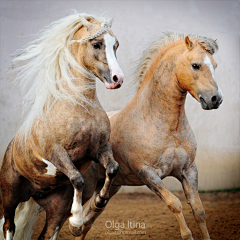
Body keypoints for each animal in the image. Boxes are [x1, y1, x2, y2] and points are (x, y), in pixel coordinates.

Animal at [0, 13, 124, 240]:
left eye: (116, 45)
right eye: (96, 44)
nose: (117, 79)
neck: (79, 107)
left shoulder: (101, 148)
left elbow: (112, 168)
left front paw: (99, 201)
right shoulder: (56, 153)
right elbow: (77, 178)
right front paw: (76, 223)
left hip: (54, 207)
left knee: (46, 234)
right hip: (9, 195)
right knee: (8, 226)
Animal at [72, 32, 221, 240]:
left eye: (214, 65)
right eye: (195, 65)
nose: (215, 99)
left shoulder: (189, 171)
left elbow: (199, 210)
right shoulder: (147, 173)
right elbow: (174, 203)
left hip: (108, 187)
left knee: (88, 219)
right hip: (85, 187)